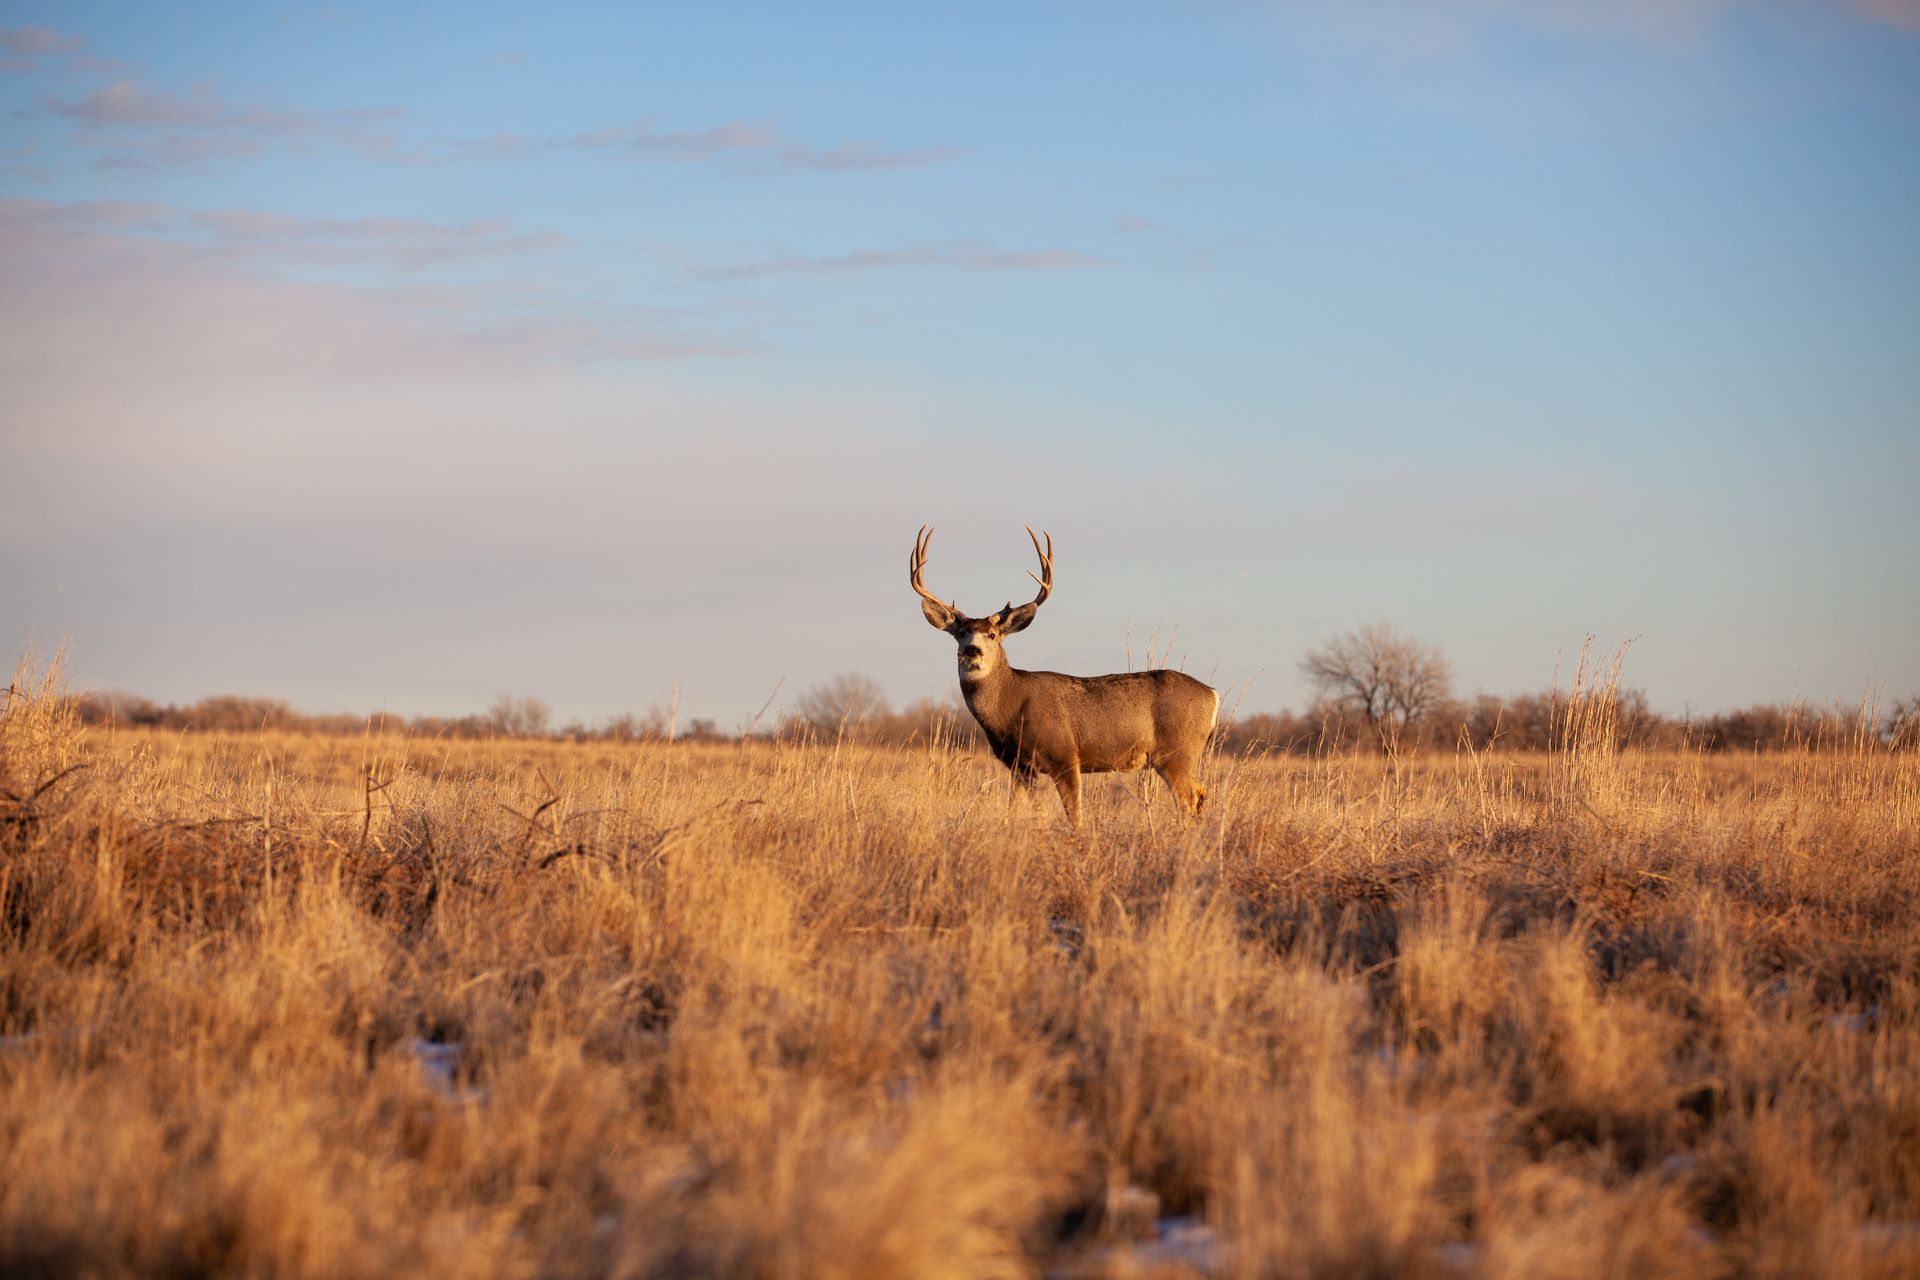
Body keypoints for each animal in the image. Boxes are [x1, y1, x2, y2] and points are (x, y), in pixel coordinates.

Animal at [910, 525, 1219, 827]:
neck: (1011, 705)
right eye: (961, 633)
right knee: (1201, 794)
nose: (972, 650)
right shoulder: (1019, 765)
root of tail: (1213, 695)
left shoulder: (1065, 755)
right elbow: (1019, 811)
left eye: (993, 635)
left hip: (1177, 752)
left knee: (1189, 799)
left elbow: (1075, 815)